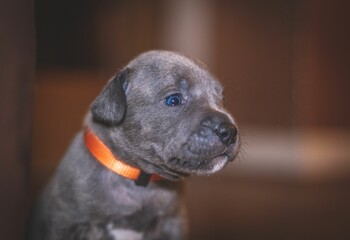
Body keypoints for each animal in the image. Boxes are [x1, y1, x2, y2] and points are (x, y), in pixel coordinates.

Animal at [26, 49, 241, 239]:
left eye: (222, 99)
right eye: (174, 100)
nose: (229, 131)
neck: (137, 177)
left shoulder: (173, 223)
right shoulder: (66, 222)